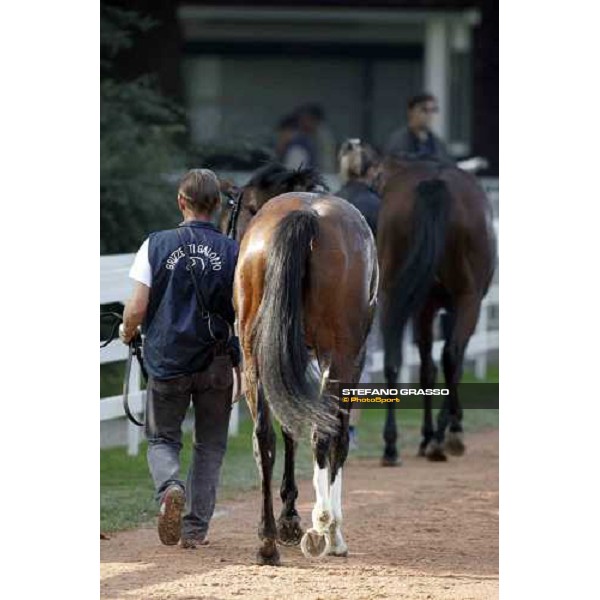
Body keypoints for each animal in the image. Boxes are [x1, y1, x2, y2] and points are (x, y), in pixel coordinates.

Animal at [227, 163, 378, 564]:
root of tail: (306, 215)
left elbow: (287, 429)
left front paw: (290, 521)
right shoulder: (347, 360)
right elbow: (336, 435)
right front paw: (325, 527)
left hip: (254, 356)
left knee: (263, 437)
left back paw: (267, 541)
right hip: (339, 354)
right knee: (324, 434)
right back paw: (324, 527)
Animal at [378, 156, 494, 464]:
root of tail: (435, 183)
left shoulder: (424, 307)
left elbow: (427, 370)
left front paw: (426, 435)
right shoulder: (456, 306)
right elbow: (453, 362)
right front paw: (449, 428)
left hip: (393, 295)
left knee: (393, 361)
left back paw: (391, 446)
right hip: (468, 299)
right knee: (451, 356)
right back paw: (444, 439)